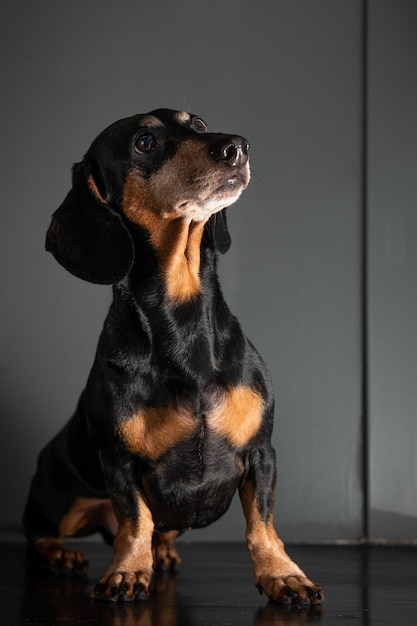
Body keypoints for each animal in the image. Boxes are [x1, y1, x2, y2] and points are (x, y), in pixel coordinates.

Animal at [22, 109, 324, 604]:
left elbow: (262, 526)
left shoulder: (262, 452)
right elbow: (135, 521)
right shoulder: (118, 462)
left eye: (197, 125)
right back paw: (63, 555)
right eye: (145, 141)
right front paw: (128, 571)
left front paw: (282, 574)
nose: (237, 147)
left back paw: (162, 552)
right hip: (60, 494)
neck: (183, 319)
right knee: (41, 534)